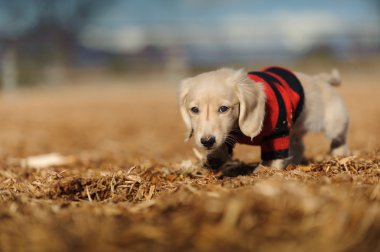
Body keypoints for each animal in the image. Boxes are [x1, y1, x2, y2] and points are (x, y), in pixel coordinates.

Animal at [179, 67, 350, 169]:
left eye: (223, 109)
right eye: (194, 110)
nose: (207, 141)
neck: (237, 127)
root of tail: (319, 79)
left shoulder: (278, 133)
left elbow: (274, 155)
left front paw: (268, 170)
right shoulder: (227, 134)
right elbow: (223, 144)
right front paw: (215, 157)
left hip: (334, 124)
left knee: (339, 140)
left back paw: (340, 155)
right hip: (295, 131)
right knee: (299, 147)